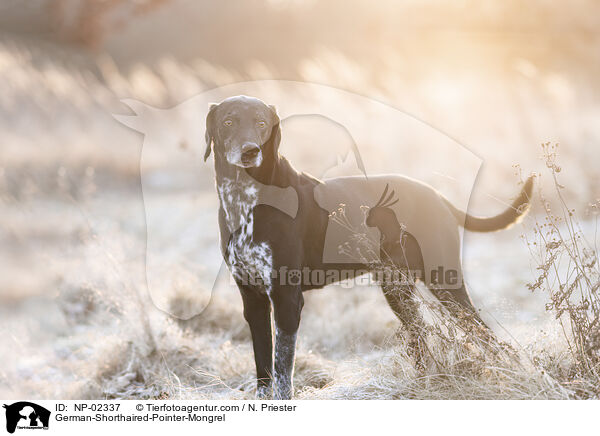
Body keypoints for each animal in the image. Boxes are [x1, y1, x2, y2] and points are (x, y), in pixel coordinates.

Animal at [204, 94, 532, 398]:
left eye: (261, 123)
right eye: (229, 121)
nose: (250, 151)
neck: (244, 199)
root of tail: (439, 197)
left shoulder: (286, 299)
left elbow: (283, 372)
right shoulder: (253, 300)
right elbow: (264, 371)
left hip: (445, 284)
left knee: (488, 338)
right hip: (398, 290)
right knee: (421, 336)